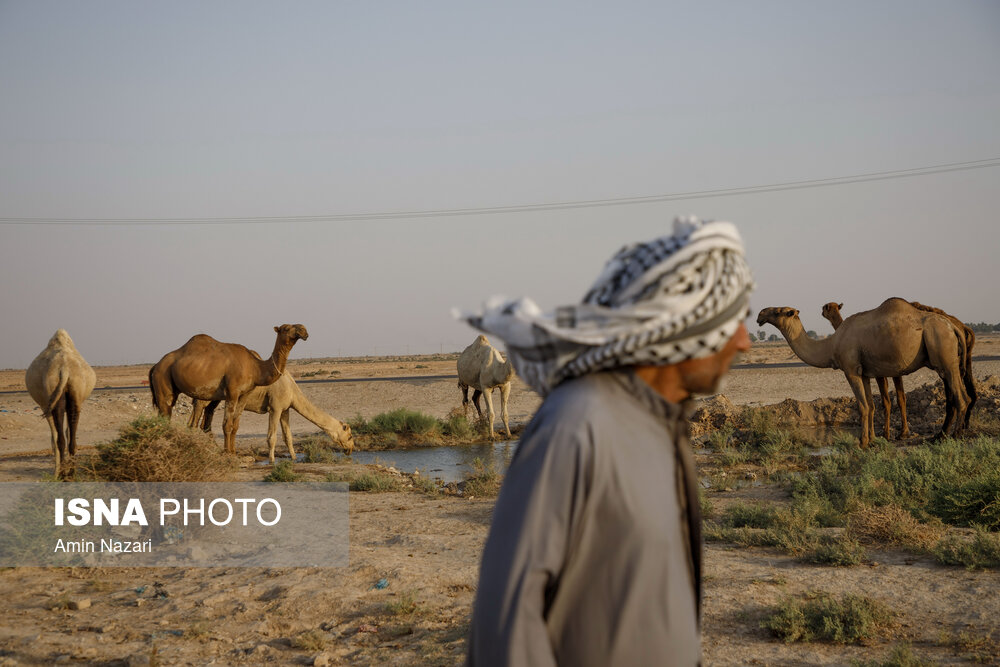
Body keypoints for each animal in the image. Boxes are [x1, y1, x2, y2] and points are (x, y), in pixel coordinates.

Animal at [25, 330, 96, 474]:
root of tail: (64, 369)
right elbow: (67, 432)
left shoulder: (45, 406)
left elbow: (55, 435)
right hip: (76, 394)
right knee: (71, 437)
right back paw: (71, 472)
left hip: (52, 397)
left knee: (59, 438)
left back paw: (61, 473)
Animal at [149, 324, 308, 460]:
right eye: (286, 328)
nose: (304, 330)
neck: (256, 367)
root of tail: (155, 366)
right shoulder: (232, 392)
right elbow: (227, 425)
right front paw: (228, 453)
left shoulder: (244, 394)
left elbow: (235, 425)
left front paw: (233, 452)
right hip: (163, 383)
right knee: (166, 417)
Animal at [188, 376, 356, 464]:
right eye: (349, 436)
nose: (351, 449)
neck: (292, 390)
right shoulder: (275, 407)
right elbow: (272, 436)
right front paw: (272, 460)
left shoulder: (285, 409)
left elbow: (288, 436)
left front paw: (294, 458)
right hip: (205, 394)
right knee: (196, 417)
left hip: (216, 398)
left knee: (202, 419)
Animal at [756, 302, 968, 448]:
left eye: (778, 311)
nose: (760, 314)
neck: (831, 345)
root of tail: (953, 327)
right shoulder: (865, 373)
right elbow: (872, 405)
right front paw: (873, 439)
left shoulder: (851, 370)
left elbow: (862, 406)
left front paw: (863, 442)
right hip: (950, 362)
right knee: (962, 394)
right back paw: (946, 434)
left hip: (944, 353)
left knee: (959, 397)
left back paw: (955, 436)